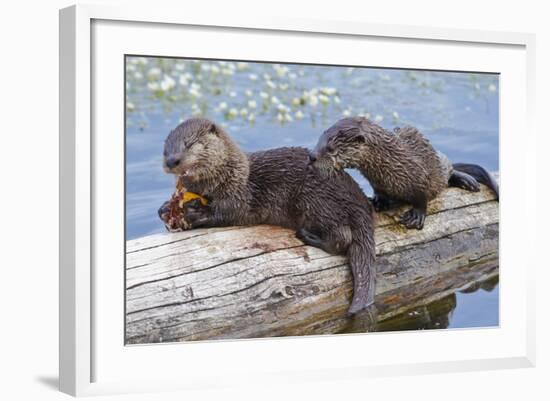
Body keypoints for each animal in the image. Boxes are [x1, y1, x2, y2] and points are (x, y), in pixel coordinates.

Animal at [157, 117, 378, 314]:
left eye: (190, 144)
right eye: (165, 149)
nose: (171, 160)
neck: (229, 175)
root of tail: (358, 200)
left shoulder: (238, 195)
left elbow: (227, 213)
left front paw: (196, 214)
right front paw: (165, 208)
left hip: (317, 200)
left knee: (342, 238)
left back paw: (308, 236)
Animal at [310, 115, 500, 228]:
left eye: (331, 148)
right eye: (318, 140)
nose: (311, 156)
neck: (390, 163)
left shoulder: (421, 176)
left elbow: (422, 198)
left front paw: (416, 215)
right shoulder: (377, 183)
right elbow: (379, 192)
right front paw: (379, 201)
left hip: (439, 164)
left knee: (449, 170)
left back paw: (467, 181)